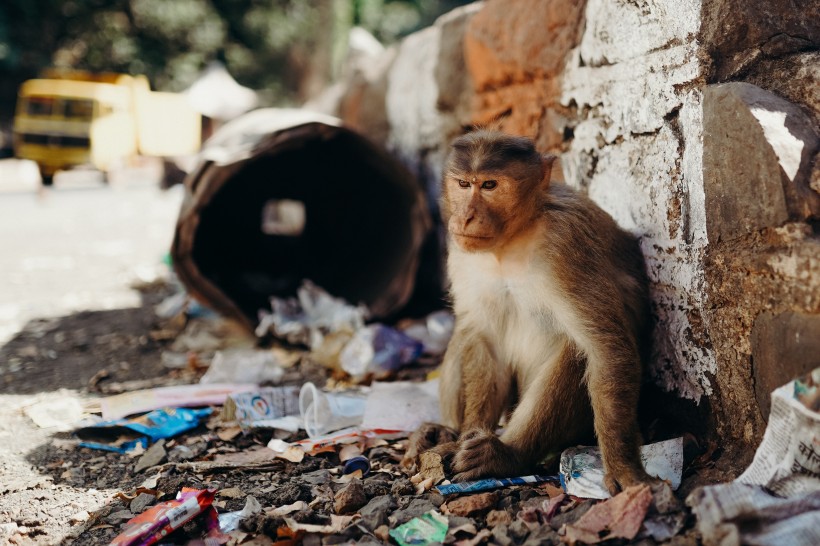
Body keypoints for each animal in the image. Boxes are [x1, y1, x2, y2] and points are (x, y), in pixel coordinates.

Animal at [402, 130, 652, 490]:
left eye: (489, 185)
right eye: (463, 184)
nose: (465, 217)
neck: (512, 239)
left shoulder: (565, 246)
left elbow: (605, 349)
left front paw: (622, 465)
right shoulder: (460, 252)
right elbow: (484, 338)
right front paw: (468, 434)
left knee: (575, 351)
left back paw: (507, 455)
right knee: (466, 333)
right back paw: (444, 433)